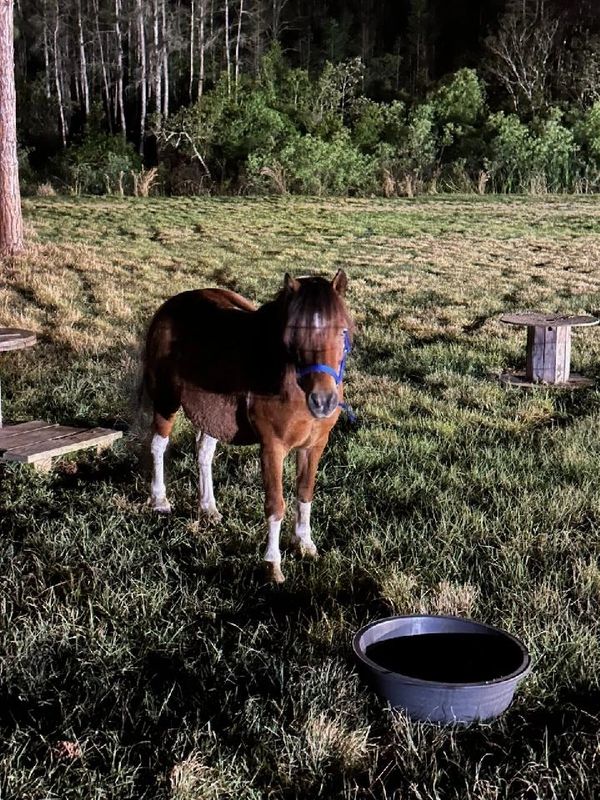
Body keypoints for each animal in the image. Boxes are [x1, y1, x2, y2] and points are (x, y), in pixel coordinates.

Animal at [142, 270, 353, 583]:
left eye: (342, 331)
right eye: (295, 334)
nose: (323, 401)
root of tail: (171, 304)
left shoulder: (315, 445)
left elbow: (304, 493)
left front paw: (304, 544)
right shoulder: (272, 448)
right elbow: (276, 504)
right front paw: (273, 564)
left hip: (212, 415)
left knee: (203, 453)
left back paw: (209, 508)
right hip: (166, 401)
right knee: (158, 445)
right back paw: (160, 500)